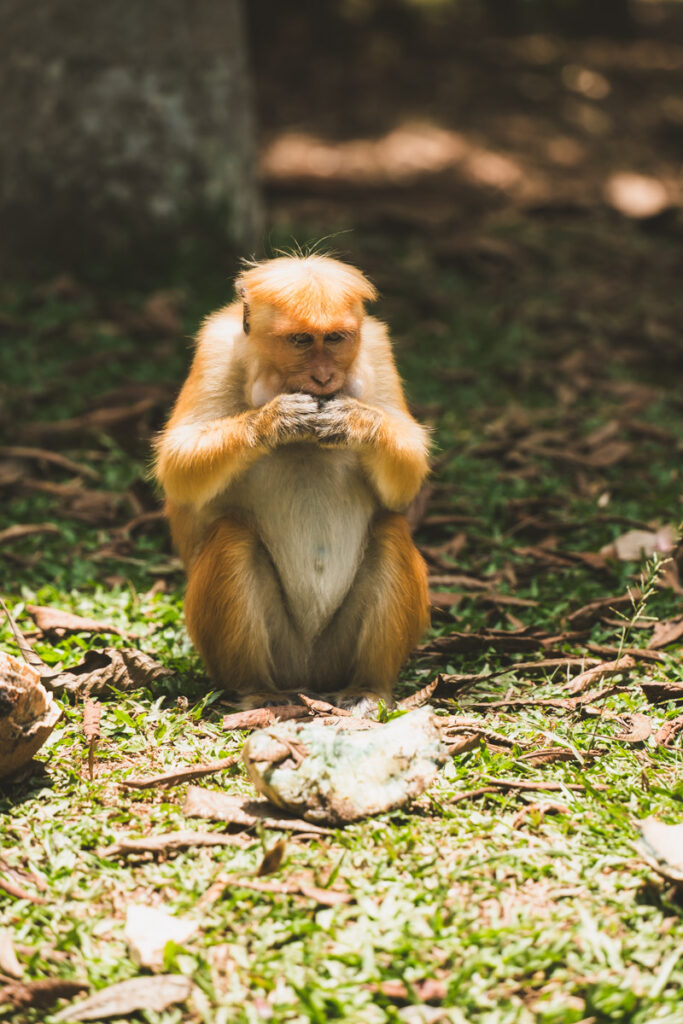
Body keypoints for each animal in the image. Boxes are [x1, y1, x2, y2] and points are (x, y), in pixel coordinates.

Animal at [155, 254, 430, 710]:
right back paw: (257, 691)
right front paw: (276, 422)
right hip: (280, 652)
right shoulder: (215, 349)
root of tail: (308, 673)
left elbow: (406, 474)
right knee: (232, 538)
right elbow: (177, 465)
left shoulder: (375, 347)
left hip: (333, 652)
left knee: (391, 531)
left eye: (334, 338)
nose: (323, 377)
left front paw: (353, 422)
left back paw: (368, 687)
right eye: (301, 341)